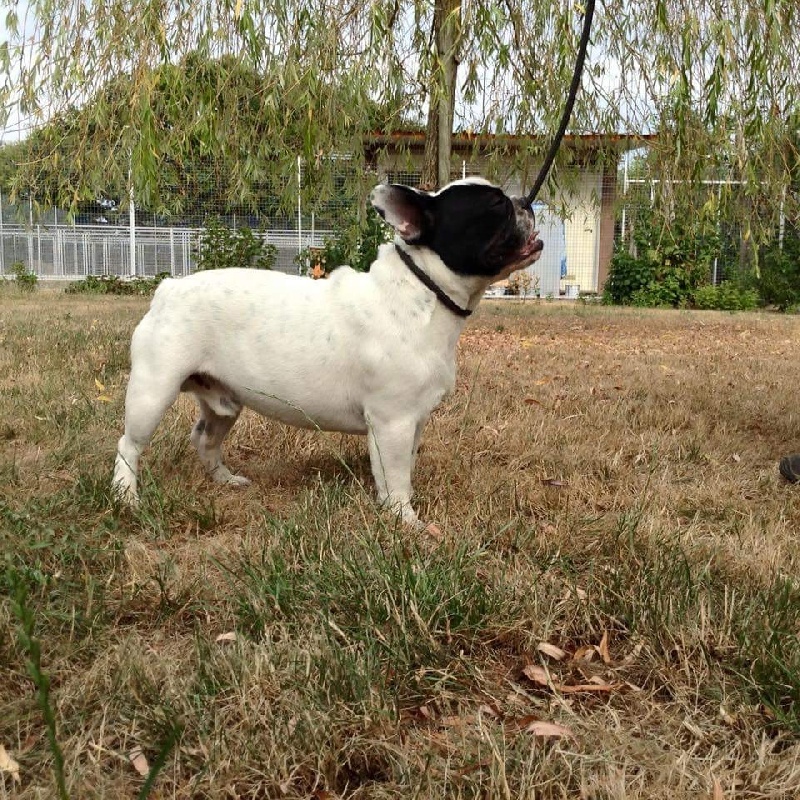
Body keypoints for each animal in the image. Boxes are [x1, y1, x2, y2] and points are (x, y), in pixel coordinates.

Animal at [112, 178, 544, 528]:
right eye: (495, 205)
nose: (526, 201)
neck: (424, 291)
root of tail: (168, 288)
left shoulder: (413, 420)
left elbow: (401, 468)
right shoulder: (393, 422)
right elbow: (396, 476)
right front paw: (405, 520)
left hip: (224, 402)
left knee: (204, 438)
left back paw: (225, 479)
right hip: (154, 391)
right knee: (128, 445)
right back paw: (126, 496)